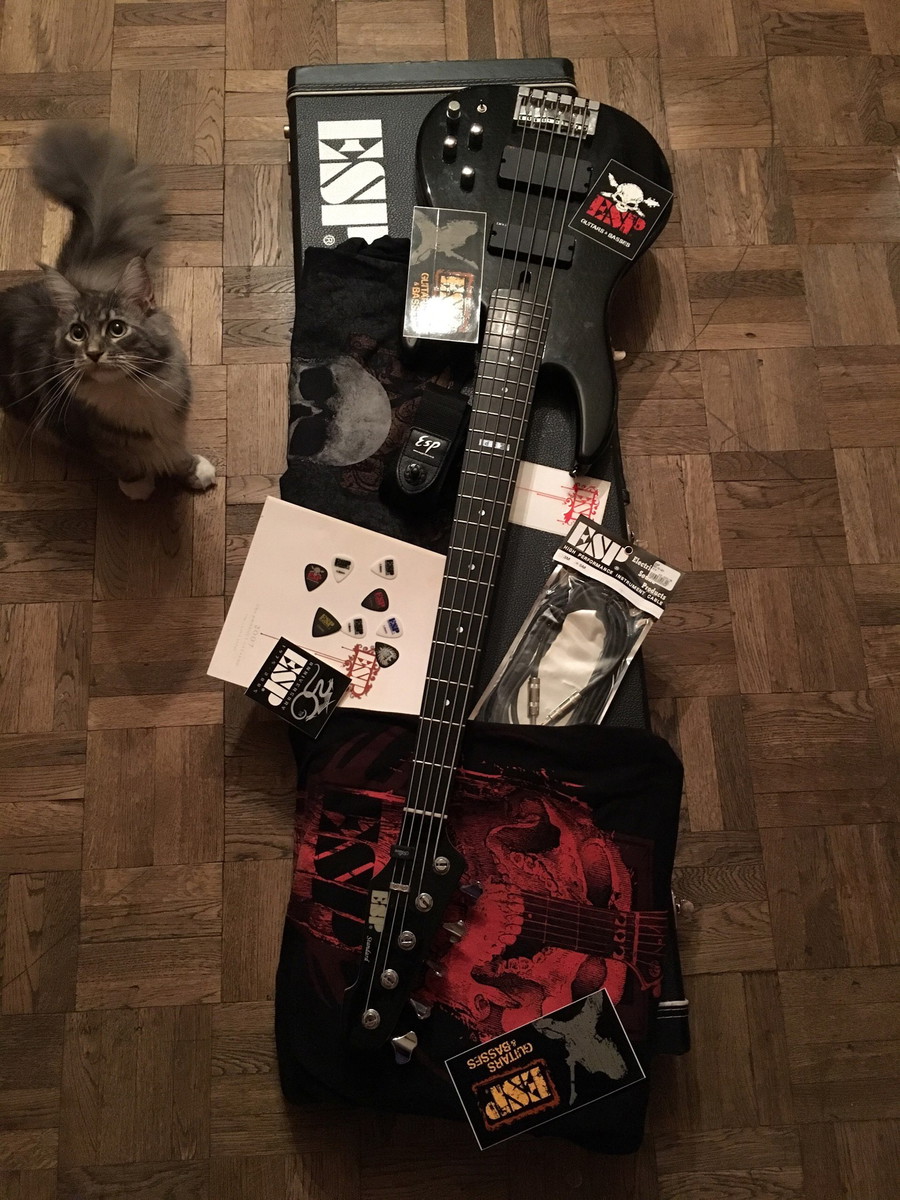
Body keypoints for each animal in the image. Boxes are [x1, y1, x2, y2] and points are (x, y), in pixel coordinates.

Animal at [0, 122, 215, 500]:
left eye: (117, 328)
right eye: (77, 333)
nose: (94, 353)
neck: (128, 392)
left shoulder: (172, 418)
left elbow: (174, 450)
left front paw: (192, 471)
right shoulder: (83, 436)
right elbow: (122, 461)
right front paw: (139, 486)